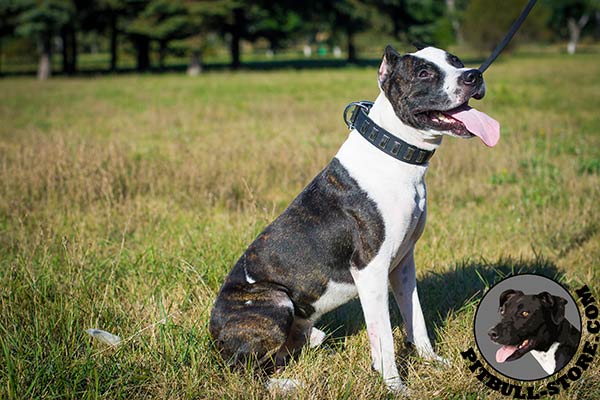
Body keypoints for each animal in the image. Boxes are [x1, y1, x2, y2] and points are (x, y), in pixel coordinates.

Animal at [209, 45, 500, 392]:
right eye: (423, 73)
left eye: (455, 61)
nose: (473, 75)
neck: (394, 151)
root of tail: (213, 337)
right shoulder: (370, 269)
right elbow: (384, 337)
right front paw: (395, 387)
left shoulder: (403, 265)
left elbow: (416, 318)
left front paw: (432, 362)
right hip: (275, 300)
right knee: (245, 371)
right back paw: (287, 385)